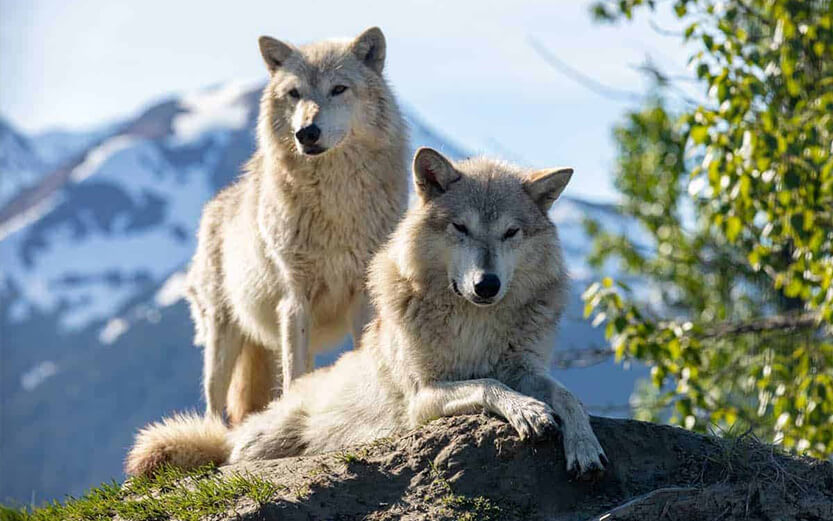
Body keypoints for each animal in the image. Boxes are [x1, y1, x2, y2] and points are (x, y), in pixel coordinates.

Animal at [127, 148, 607, 479]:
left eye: (511, 233)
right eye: (461, 228)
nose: (486, 285)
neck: (475, 323)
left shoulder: (526, 369)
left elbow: (569, 397)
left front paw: (585, 446)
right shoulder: (422, 397)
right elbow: (488, 384)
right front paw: (527, 410)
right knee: (230, 456)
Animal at [186, 27, 409, 425]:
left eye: (339, 89)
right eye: (294, 93)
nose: (307, 132)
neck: (336, 205)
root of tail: (215, 205)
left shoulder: (362, 295)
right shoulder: (294, 301)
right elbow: (294, 375)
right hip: (222, 339)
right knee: (214, 406)